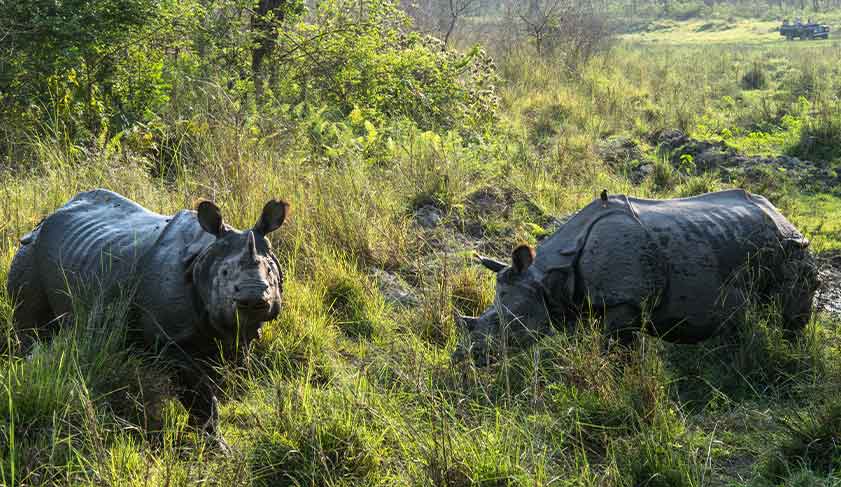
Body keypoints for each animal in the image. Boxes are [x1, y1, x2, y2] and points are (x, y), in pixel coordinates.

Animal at [6, 189, 289, 442]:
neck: (205, 258)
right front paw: (214, 445)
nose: (253, 298)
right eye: (225, 273)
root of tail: (45, 218)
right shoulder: (173, 342)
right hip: (29, 253)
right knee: (33, 331)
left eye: (270, 270)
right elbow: (200, 395)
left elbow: (224, 380)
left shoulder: (235, 337)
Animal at [454, 189, 818, 365]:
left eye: (506, 324)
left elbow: (617, 348)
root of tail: (782, 215)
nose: (464, 358)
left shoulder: (625, 303)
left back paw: (789, 352)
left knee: (789, 311)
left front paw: (619, 374)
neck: (547, 276)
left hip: (793, 247)